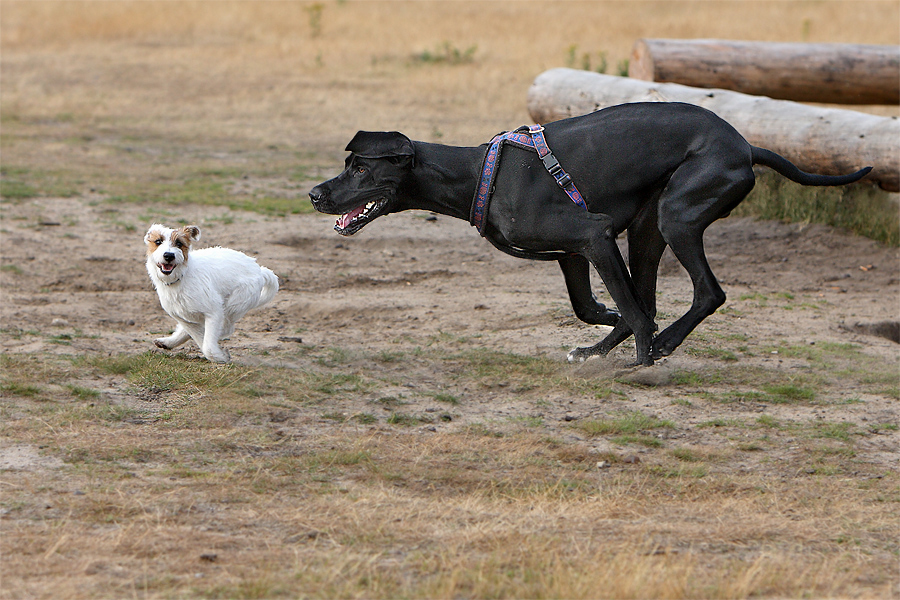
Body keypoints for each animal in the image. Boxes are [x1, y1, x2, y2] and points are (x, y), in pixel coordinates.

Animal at [143, 225, 278, 364]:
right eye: (158, 241)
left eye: (179, 243)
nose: (169, 255)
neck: (181, 278)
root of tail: (260, 270)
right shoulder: (183, 318)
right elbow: (198, 336)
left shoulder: (214, 312)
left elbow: (207, 344)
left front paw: (220, 356)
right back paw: (168, 342)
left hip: (233, 305)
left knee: (226, 328)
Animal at [312, 102, 872, 366]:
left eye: (360, 168)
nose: (316, 194)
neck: (478, 174)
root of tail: (747, 146)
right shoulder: (574, 253)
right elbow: (598, 306)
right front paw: (606, 330)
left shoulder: (594, 235)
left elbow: (631, 310)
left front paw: (640, 362)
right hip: (648, 226)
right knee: (650, 295)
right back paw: (614, 348)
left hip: (677, 215)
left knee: (705, 294)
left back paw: (658, 348)